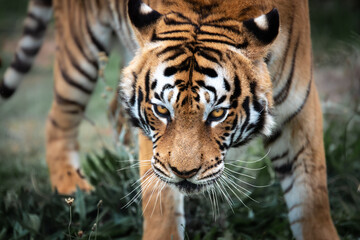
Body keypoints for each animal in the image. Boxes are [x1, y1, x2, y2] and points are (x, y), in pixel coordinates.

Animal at [0, 0, 338, 239]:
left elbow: (312, 198)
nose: (184, 173)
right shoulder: (156, 150)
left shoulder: (298, 110)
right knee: (59, 116)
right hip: (80, 47)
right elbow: (160, 204)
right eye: (162, 110)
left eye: (217, 113)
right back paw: (71, 187)